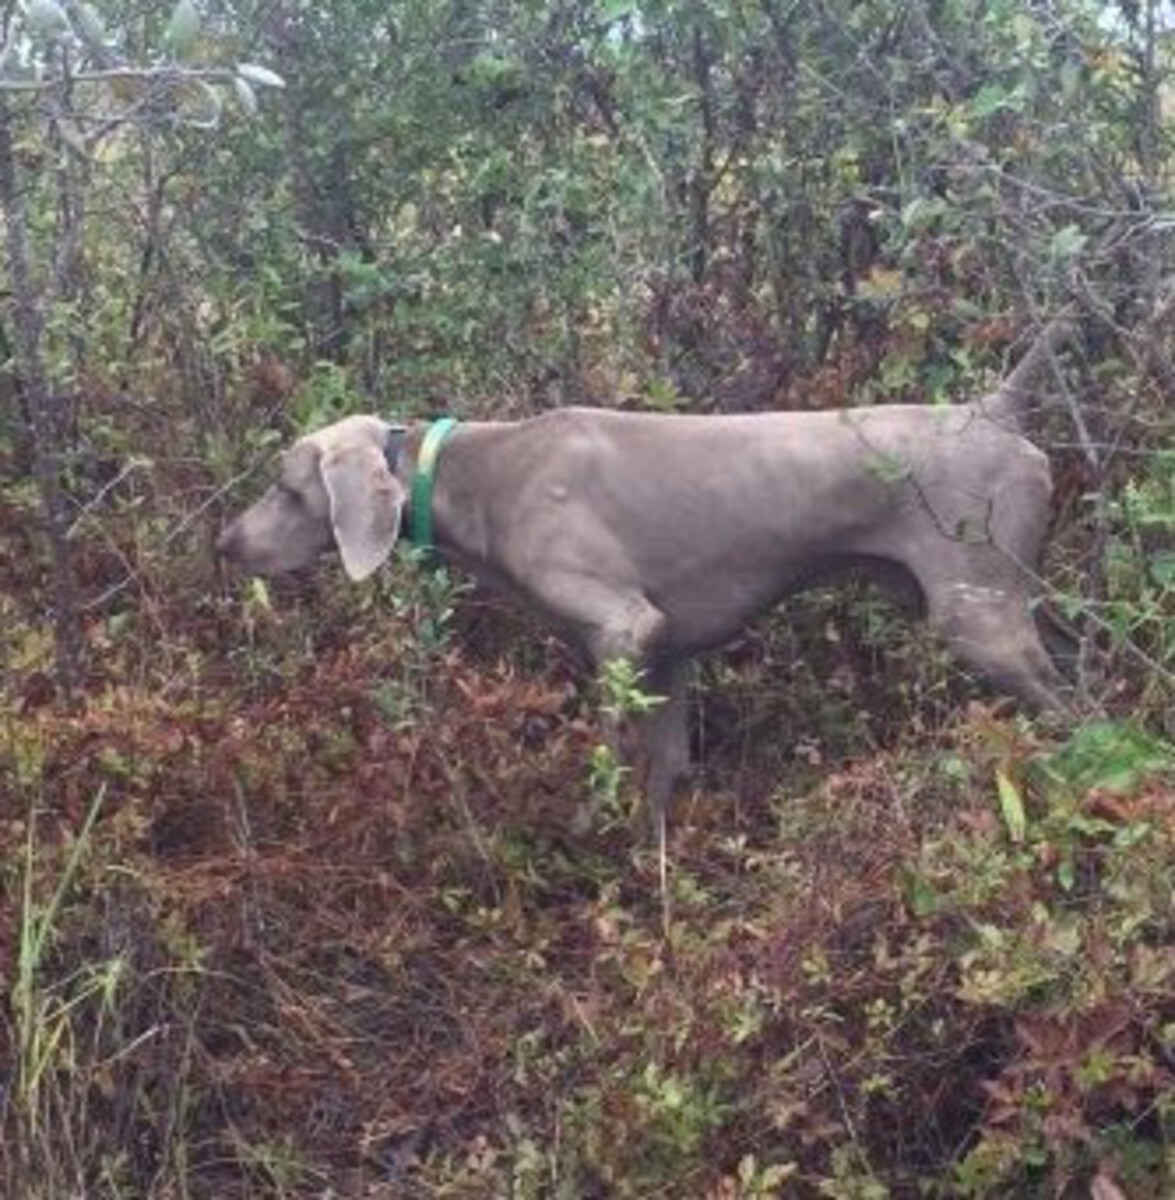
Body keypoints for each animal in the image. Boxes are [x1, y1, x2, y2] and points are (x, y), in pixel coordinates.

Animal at [220, 324, 1075, 820]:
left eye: (287, 488)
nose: (225, 543)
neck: (478, 472)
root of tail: (995, 408)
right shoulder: (669, 654)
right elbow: (661, 779)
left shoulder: (624, 629)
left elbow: (609, 764)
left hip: (980, 616)